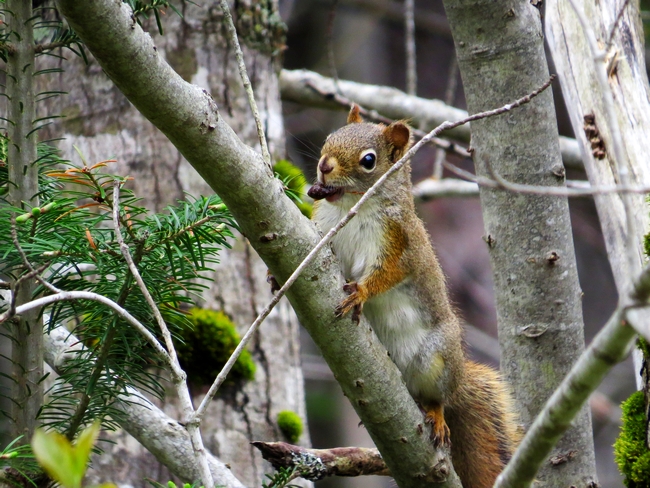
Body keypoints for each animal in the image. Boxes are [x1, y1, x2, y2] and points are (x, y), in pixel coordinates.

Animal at [306, 106, 520, 488]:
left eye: (369, 160)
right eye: (330, 138)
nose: (324, 166)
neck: (350, 207)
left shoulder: (399, 244)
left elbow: (388, 274)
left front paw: (361, 292)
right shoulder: (326, 234)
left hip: (437, 360)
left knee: (437, 397)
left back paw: (436, 414)